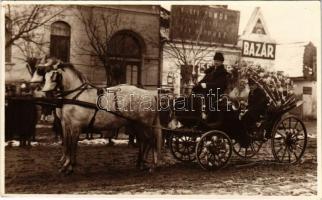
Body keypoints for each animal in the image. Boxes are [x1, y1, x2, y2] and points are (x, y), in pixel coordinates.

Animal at [30, 58, 162, 174]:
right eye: (45, 74)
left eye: (52, 75)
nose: (42, 91)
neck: (75, 96)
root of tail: (150, 95)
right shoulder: (66, 124)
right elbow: (67, 144)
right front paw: (65, 165)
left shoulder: (75, 126)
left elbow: (72, 145)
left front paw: (69, 166)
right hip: (136, 125)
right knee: (144, 141)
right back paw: (141, 163)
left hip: (145, 125)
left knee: (151, 141)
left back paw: (152, 165)